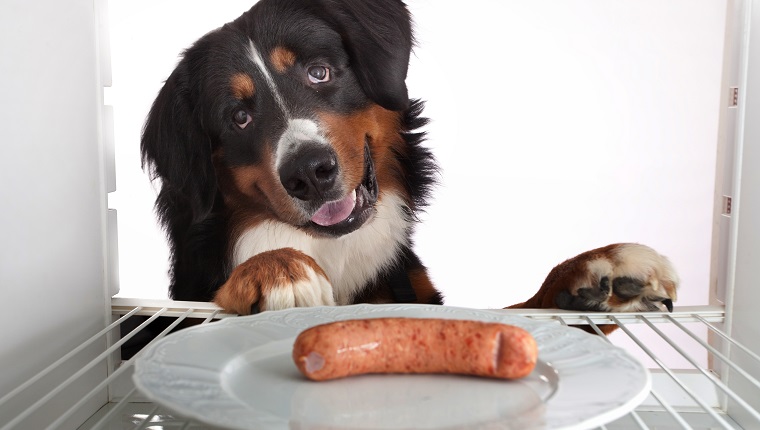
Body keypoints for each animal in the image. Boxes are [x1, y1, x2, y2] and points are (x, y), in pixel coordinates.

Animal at [140, 0, 680, 330]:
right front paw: (276, 269)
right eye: (239, 118)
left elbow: (521, 307)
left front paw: (599, 268)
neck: (335, 251)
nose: (309, 173)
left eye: (319, 72)